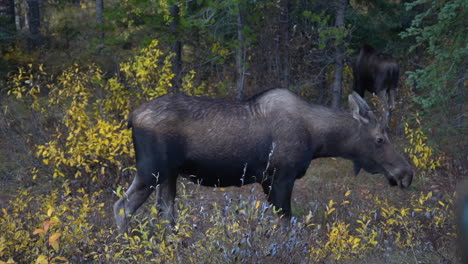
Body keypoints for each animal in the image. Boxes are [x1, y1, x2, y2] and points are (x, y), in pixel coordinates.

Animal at [114, 88, 414, 231]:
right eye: (379, 139)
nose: (406, 173)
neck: (318, 140)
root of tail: (131, 117)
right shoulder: (279, 177)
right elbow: (286, 223)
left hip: (169, 174)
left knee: (166, 211)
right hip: (151, 170)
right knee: (122, 206)